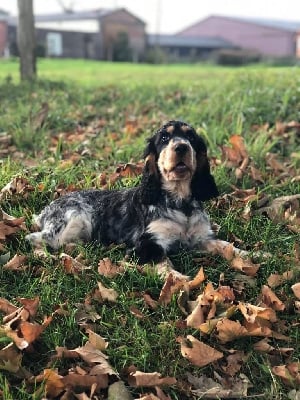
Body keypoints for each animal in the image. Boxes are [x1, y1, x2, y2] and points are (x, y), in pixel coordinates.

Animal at [25, 121, 247, 272]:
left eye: (191, 138)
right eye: (164, 139)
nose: (181, 147)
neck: (179, 201)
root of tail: (46, 209)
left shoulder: (201, 237)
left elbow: (226, 246)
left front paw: (250, 255)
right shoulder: (147, 243)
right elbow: (164, 263)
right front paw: (181, 283)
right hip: (73, 220)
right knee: (35, 238)